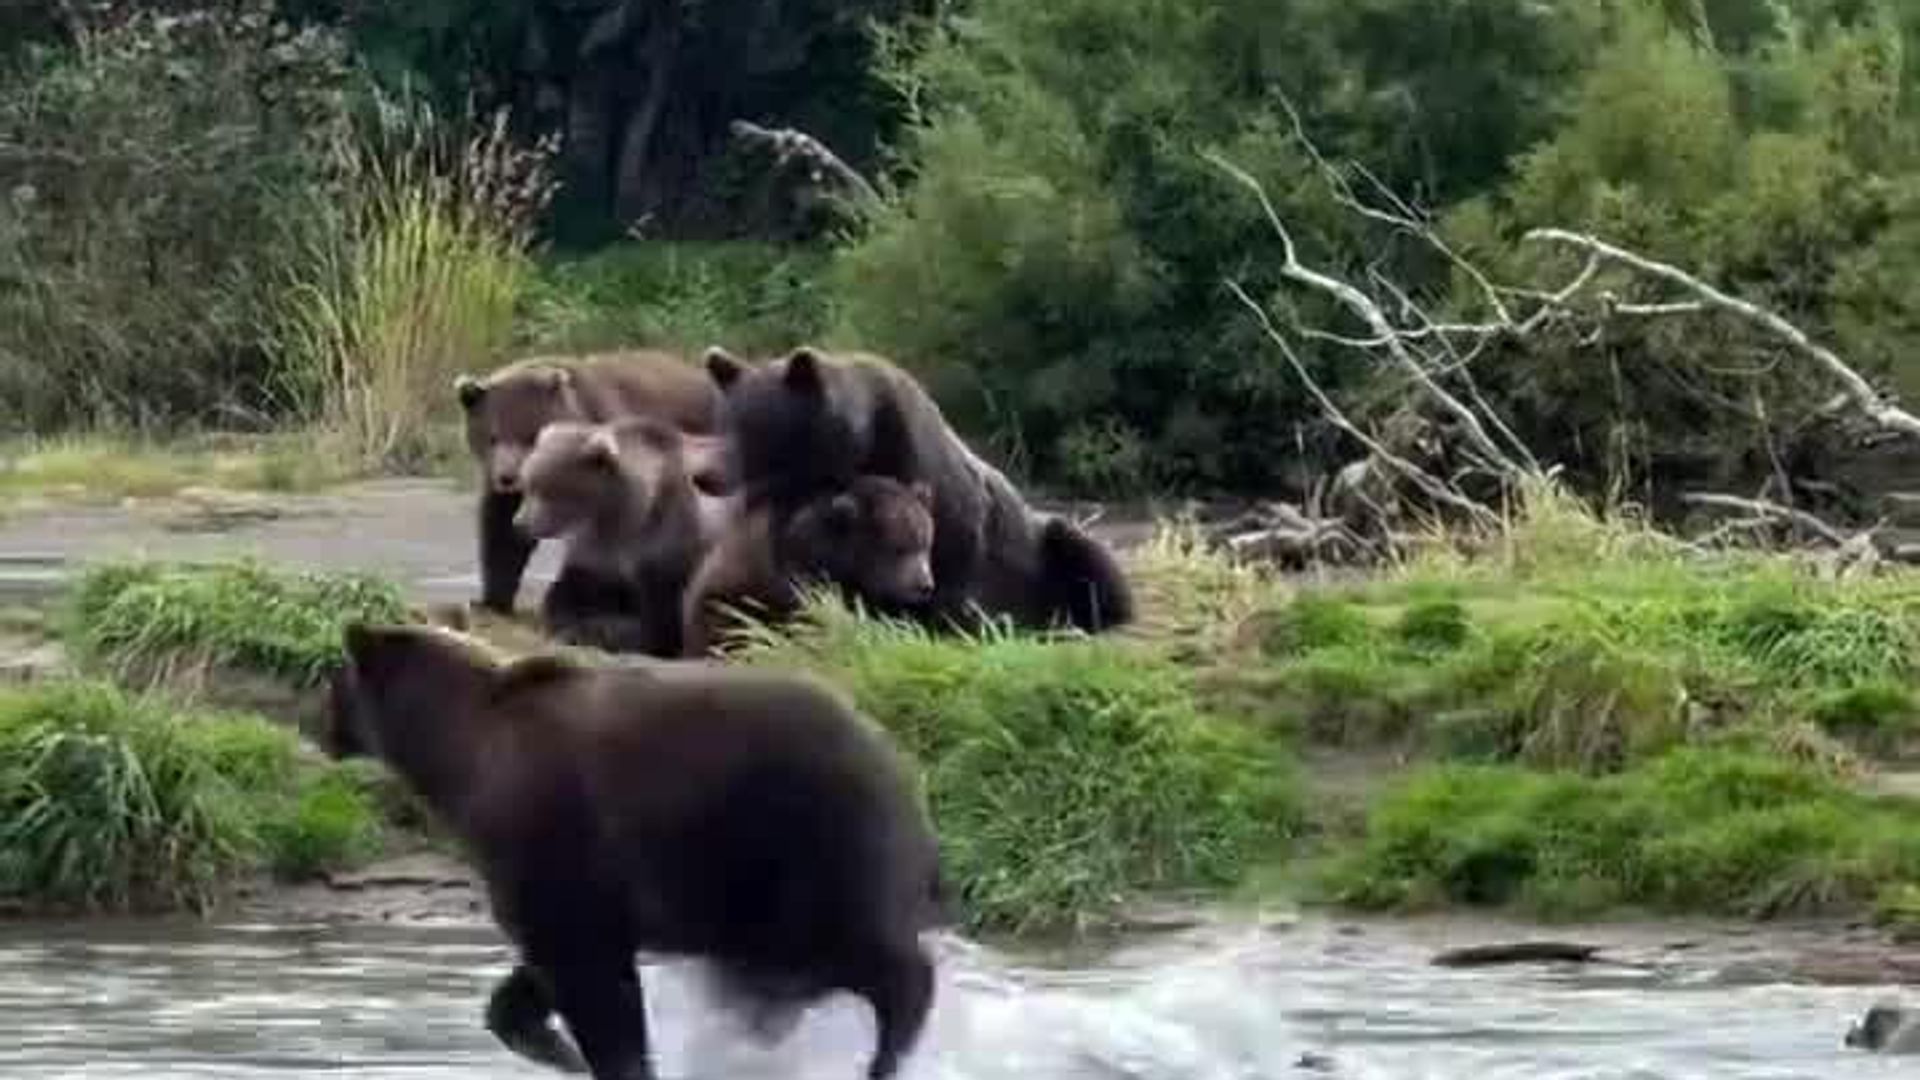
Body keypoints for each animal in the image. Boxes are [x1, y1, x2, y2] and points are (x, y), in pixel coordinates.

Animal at [321, 620, 946, 1080]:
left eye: (332, 679)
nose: (319, 725)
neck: (462, 758)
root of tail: (894, 757)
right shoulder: (572, 887)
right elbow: (543, 971)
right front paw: (557, 1047)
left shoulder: (550, 837)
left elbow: (592, 982)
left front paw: (598, 1058)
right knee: (780, 975)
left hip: (804, 844)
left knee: (866, 956)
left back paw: (885, 1051)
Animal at [513, 415, 736, 658]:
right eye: (527, 484)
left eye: (547, 490)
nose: (520, 523)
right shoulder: (595, 554)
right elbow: (570, 592)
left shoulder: (664, 549)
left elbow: (657, 620)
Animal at [703, 344, 1133, 634]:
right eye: (723, 421)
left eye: (755, 427)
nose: (705, 475)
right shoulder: (800, 508)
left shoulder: (924, 474)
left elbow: (951, 562)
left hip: (1044, 547)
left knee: (1082, 553)